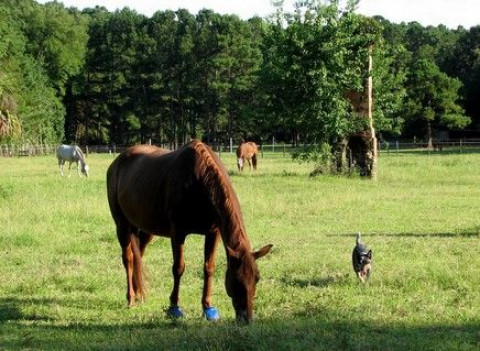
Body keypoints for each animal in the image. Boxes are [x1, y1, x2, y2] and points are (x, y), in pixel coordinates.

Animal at [107, 140, 272, 324]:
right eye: (236, 279)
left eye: (257, 278)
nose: (247, 319)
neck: (198, 181)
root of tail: (117, 162)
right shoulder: (177, 233)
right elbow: (178, 268)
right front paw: (174, 307)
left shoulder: (213, 233)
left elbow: (209, 267)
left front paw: (207, 308)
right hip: (122, 224)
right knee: (128, 258)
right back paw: (130, 298)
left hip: (145, 229)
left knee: (138, 255)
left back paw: (139, 294)